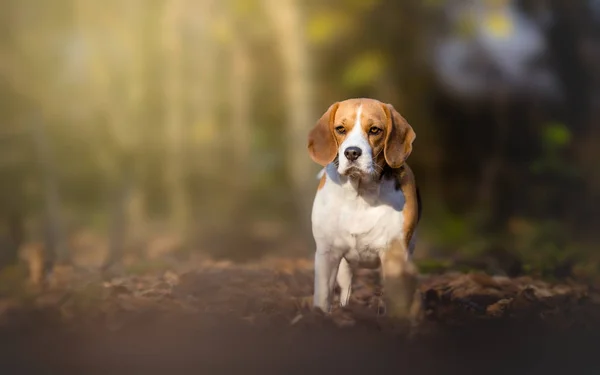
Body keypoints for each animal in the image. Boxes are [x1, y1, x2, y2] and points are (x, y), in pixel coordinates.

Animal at [310, 98, 422, 318]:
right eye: (340, 129)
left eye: (375, 130)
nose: (352, 152)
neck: (359, 195)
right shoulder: (327, 253)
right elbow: (323, 297)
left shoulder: (394, 254)